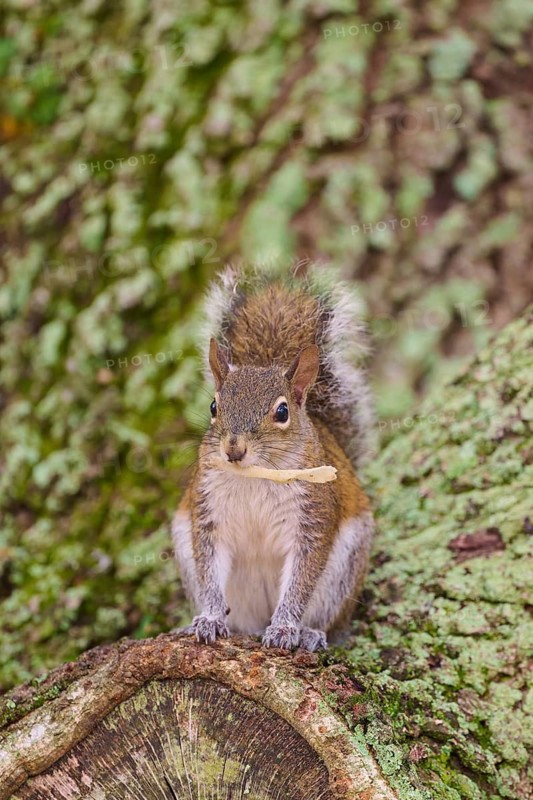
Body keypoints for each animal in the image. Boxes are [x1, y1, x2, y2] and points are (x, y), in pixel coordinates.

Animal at [172, 265, 376, 651]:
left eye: (282, 412)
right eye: (213, 407)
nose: (234, 449)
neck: (256, 475)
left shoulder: (313, 517)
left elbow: (301, 578)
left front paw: (284, 627)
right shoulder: (208, 513)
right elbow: (209, 569)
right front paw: (209, 618)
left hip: (342, 575)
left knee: (326, 618)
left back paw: (310, 633)